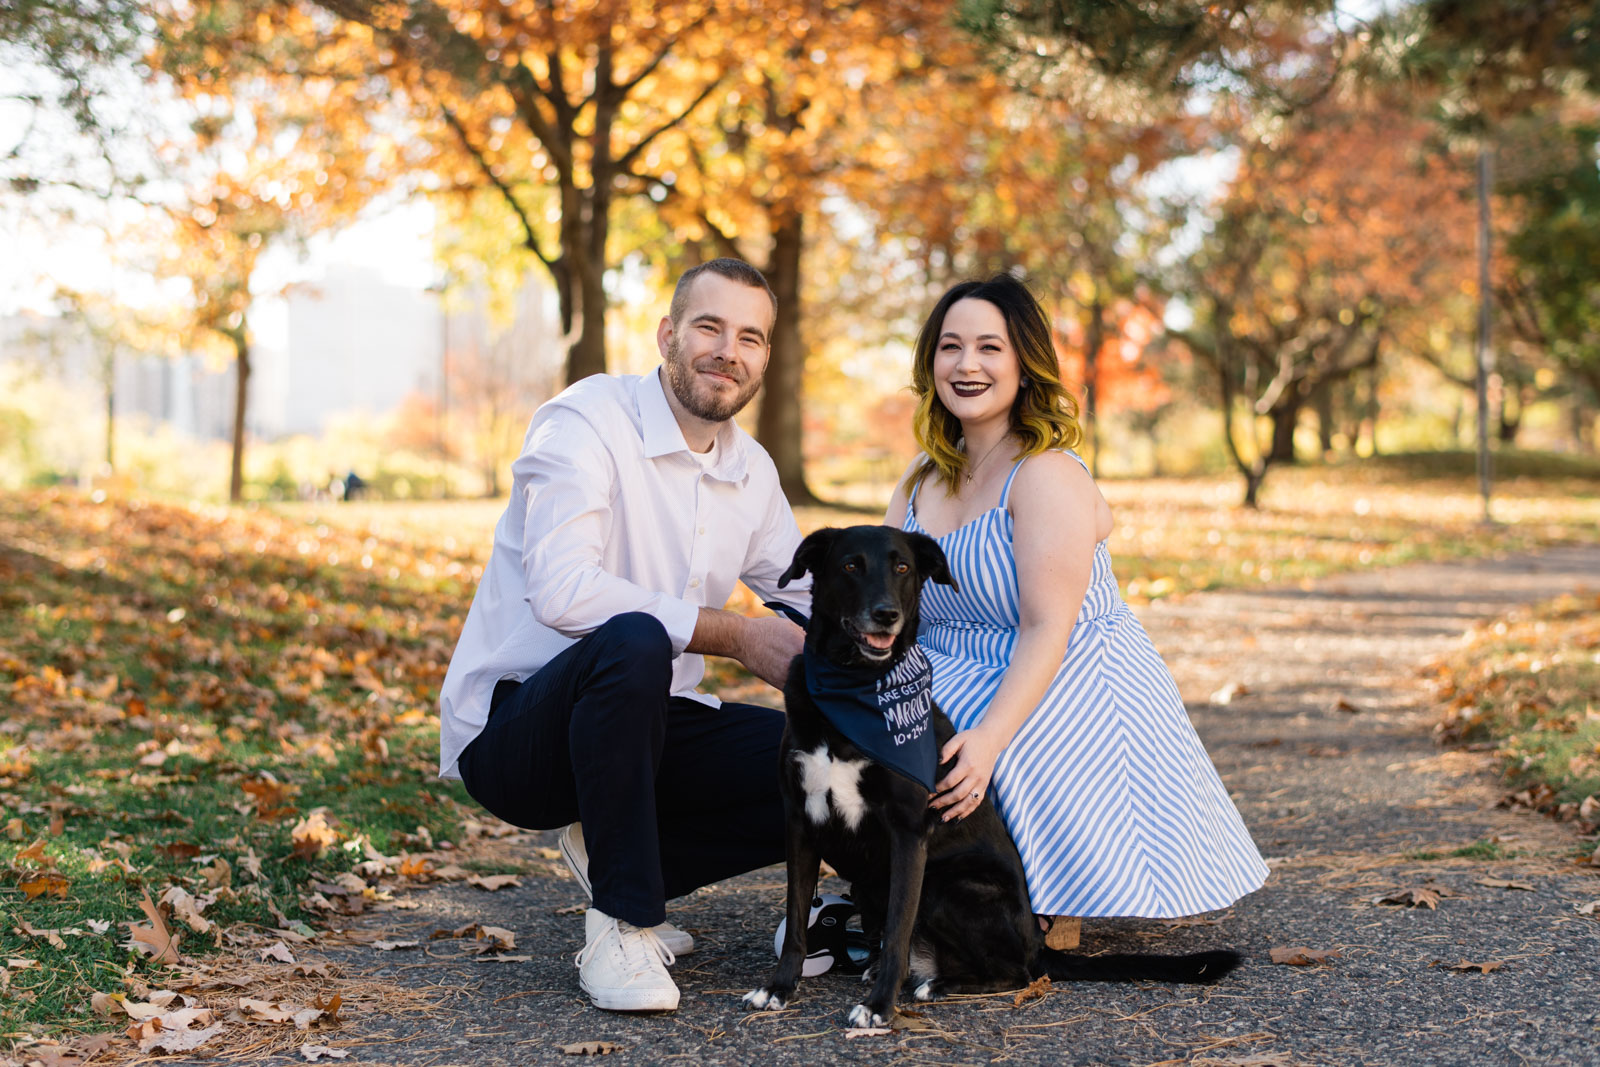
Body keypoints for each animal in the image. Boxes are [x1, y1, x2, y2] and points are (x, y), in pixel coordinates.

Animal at [742, 524, 1241, 1023]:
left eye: (902, 566)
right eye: (850, 565)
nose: (887, 615)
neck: (855, 687)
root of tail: (1038, 943)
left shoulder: (907, 832)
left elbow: (899, 931)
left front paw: (880, 1007)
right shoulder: (800, 821)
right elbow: (797, 922)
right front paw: (779, 989)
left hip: (948, 884)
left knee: (1016, 973)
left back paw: (936, 984)